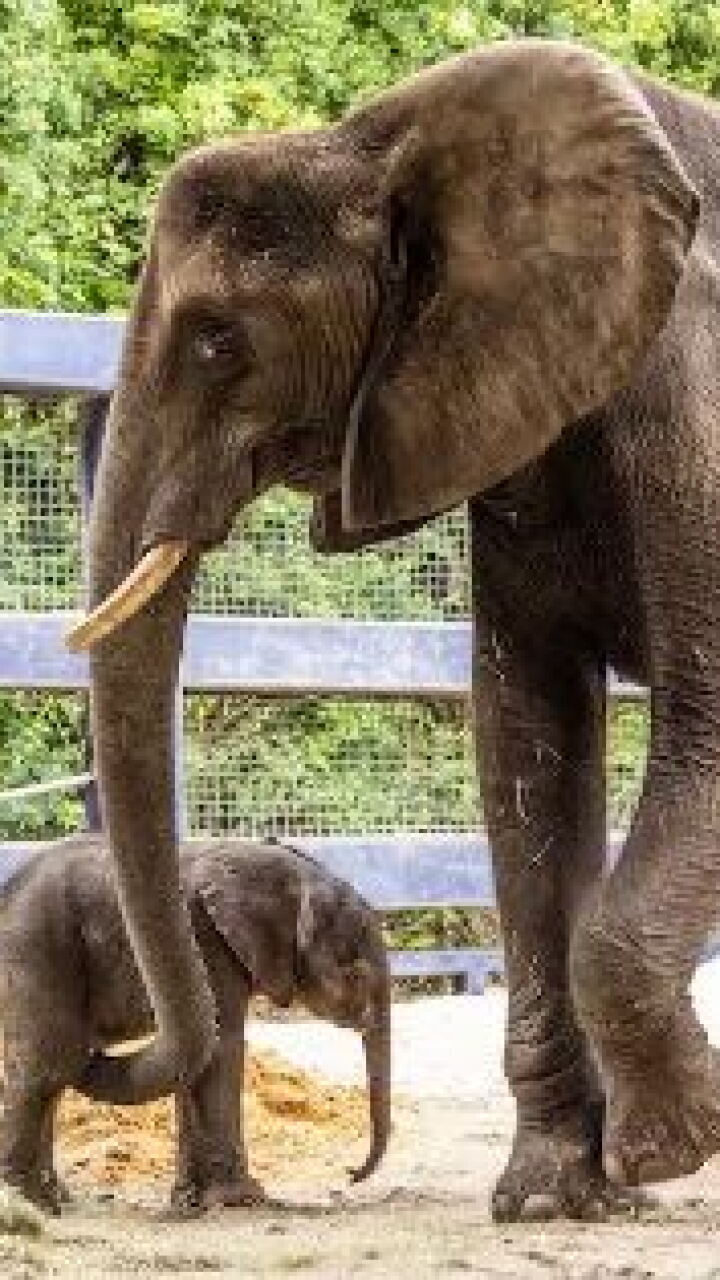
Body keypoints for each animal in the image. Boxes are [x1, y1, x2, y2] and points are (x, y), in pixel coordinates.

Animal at [0, 835, 390, 1213]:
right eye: (356, 973)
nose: (351, 1174)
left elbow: (197, 1062)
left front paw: (191, 1202)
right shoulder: (207, 941)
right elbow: (222, 1046)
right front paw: (242, 1201)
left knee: (55, 1072)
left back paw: (56, 1197)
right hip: (38, 950)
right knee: (46, 1067)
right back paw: (32, 1201)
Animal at [64, 35, 720, 1222]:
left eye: (217, 341)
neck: (373, 143)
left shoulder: (690, 395)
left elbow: (704, 711)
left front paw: (662, 1152)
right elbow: (525, 739)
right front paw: (554, 1197)